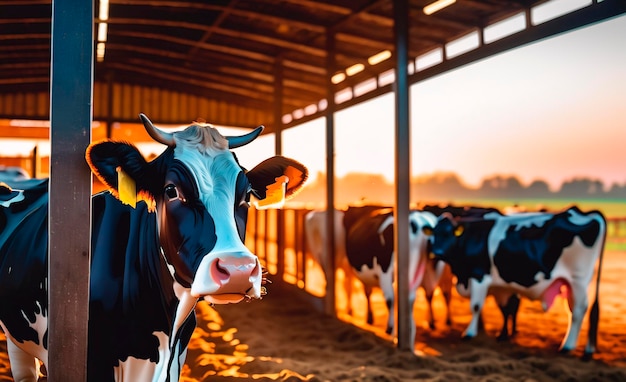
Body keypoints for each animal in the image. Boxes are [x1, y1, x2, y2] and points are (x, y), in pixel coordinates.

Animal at [338, 206, 442, 350]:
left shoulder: (384, 271)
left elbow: (388, 299)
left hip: (391, 271)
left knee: (393, 299)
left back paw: (394, 332)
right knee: (417, 298)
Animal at [424, 206, 604, 358]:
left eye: (448, 233)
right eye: (434, 233)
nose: (436, 252)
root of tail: (588, 213)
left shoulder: (480, 276)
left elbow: (476, 306)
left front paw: (469, 333)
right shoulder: (501, 287)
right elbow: (505, 309)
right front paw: (503, 335)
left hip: (578, 281)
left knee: (579, 310)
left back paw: (567, 346)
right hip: (573, 285)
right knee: (573, 310)